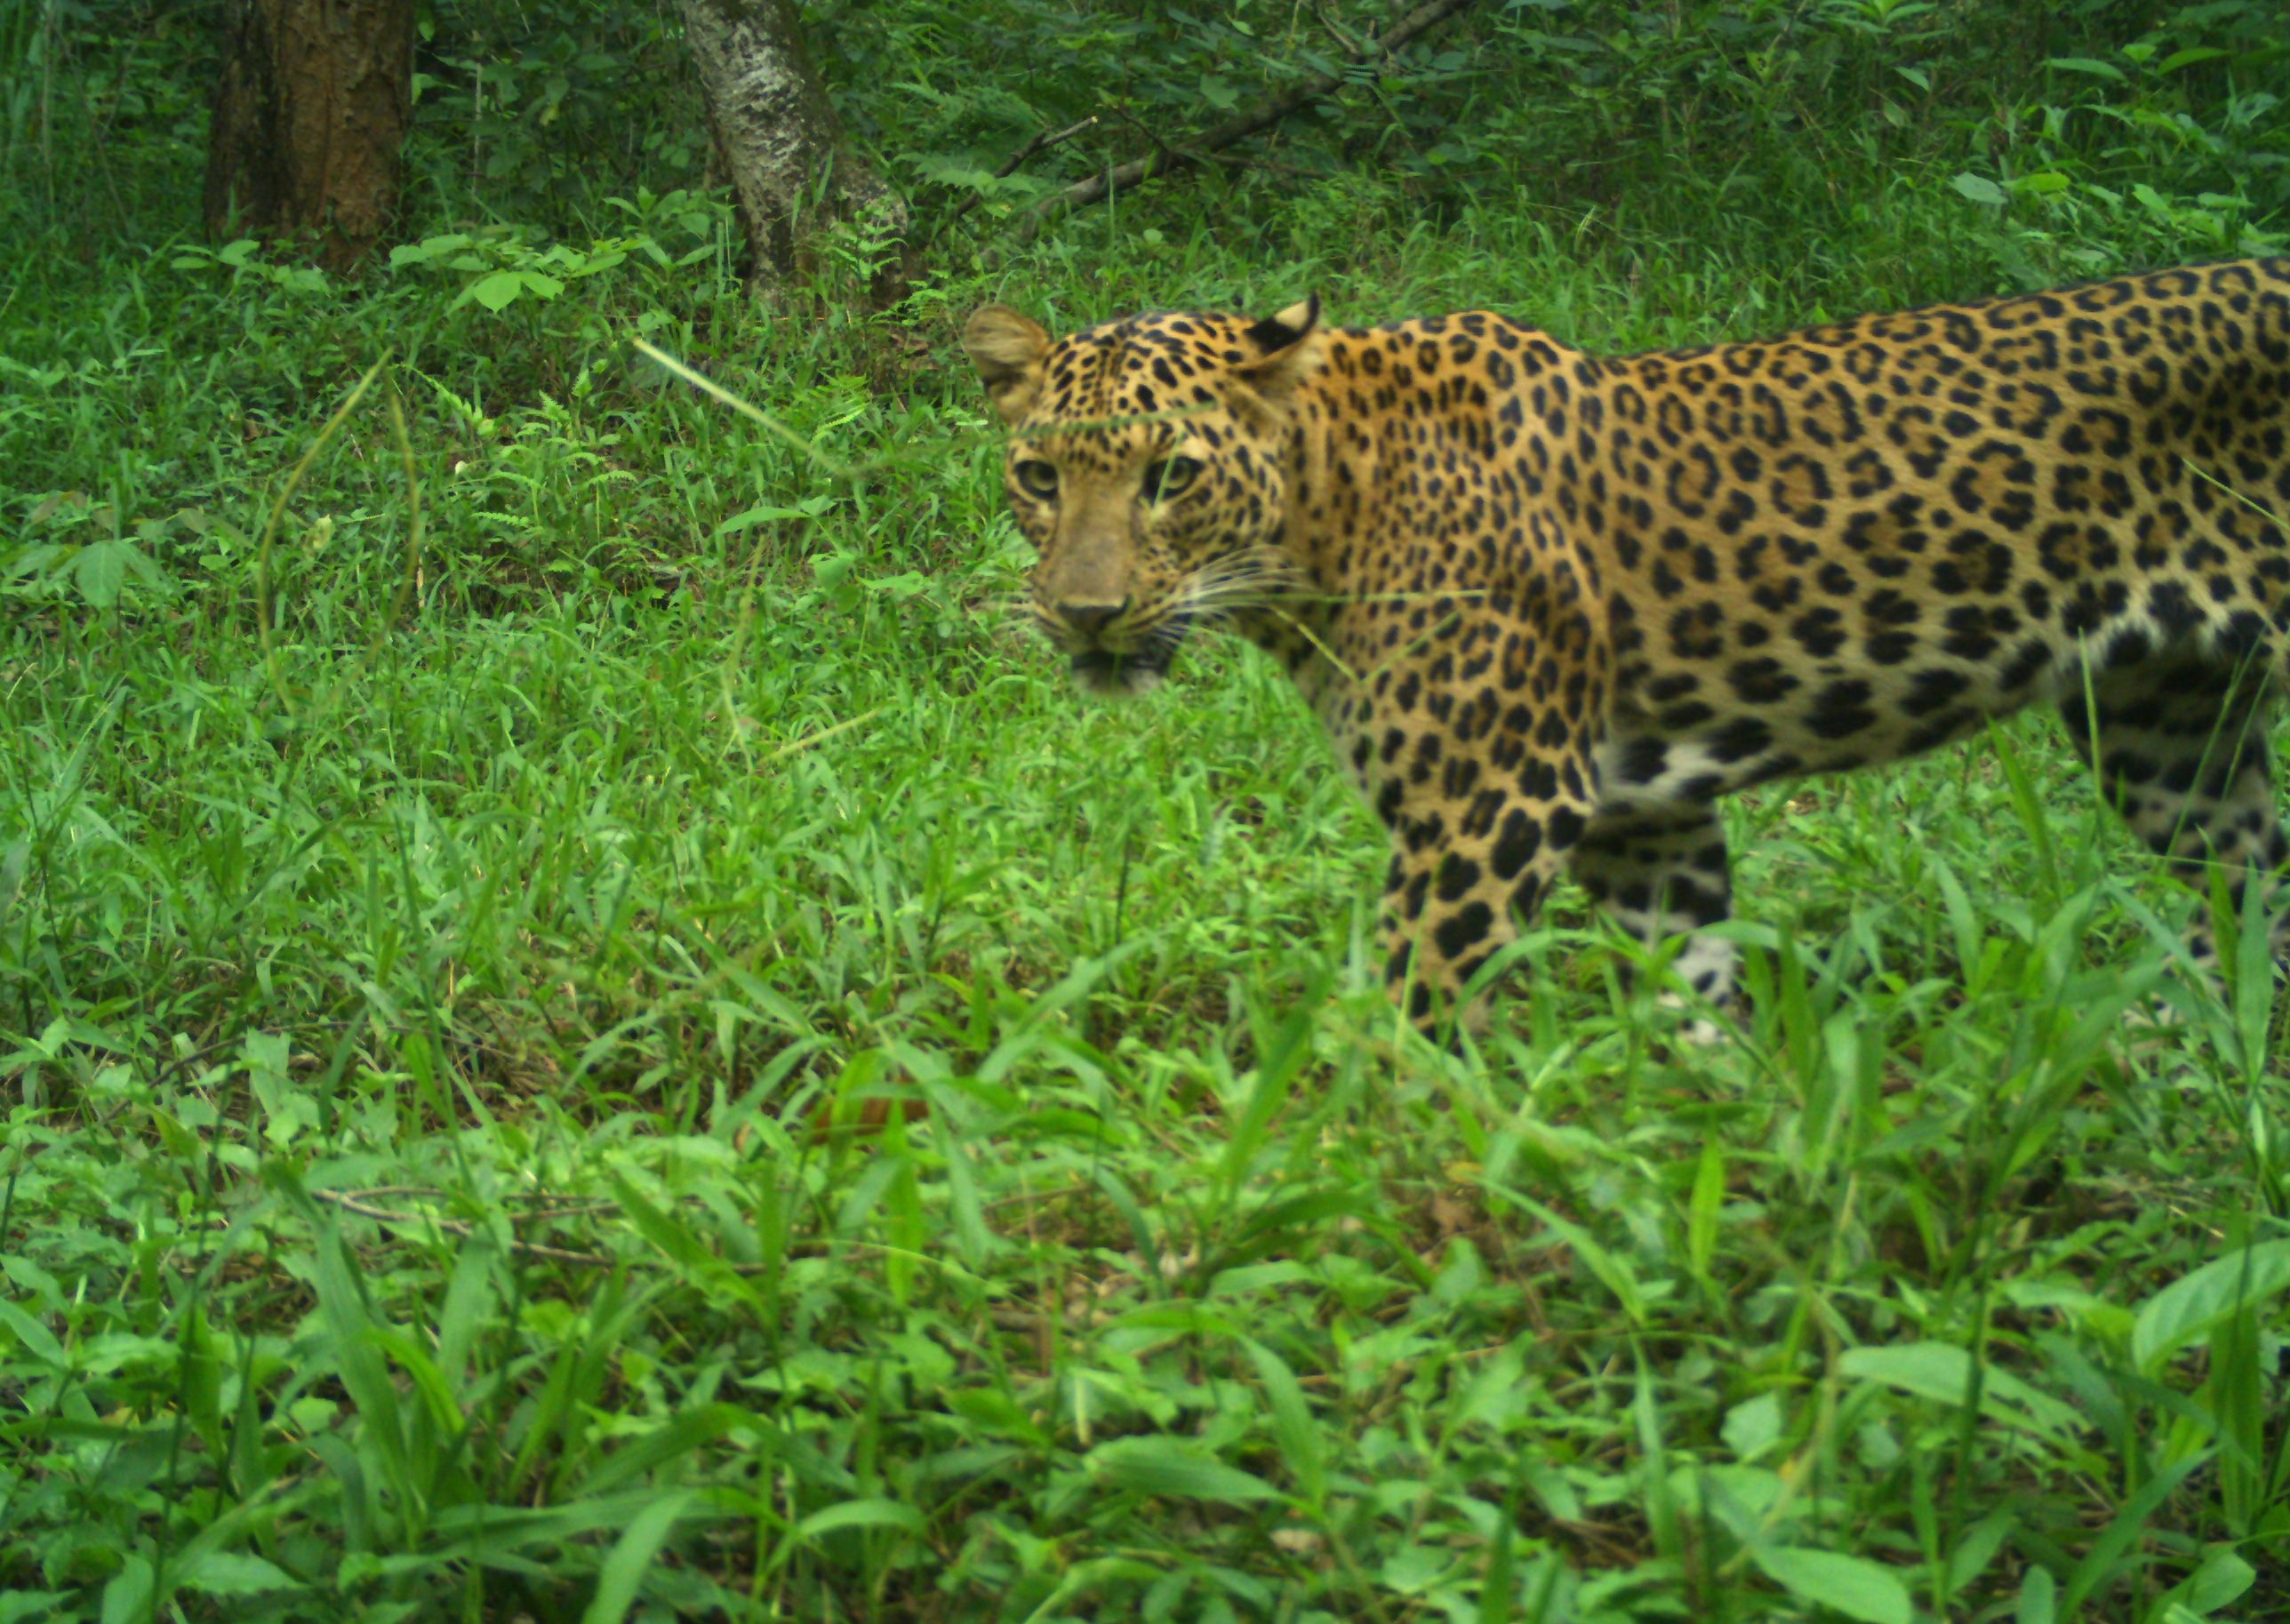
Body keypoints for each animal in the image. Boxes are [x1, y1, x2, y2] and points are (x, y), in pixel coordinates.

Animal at [961, 257, 2290, 1030]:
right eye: (1038, 478)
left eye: (1171, 476)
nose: (1083, 613)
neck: (1332, 506)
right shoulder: (1641, 823)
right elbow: (1688, 1002)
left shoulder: (1488, 804)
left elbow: (1406, 1021)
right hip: (2171, 736)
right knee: (2249, 892)